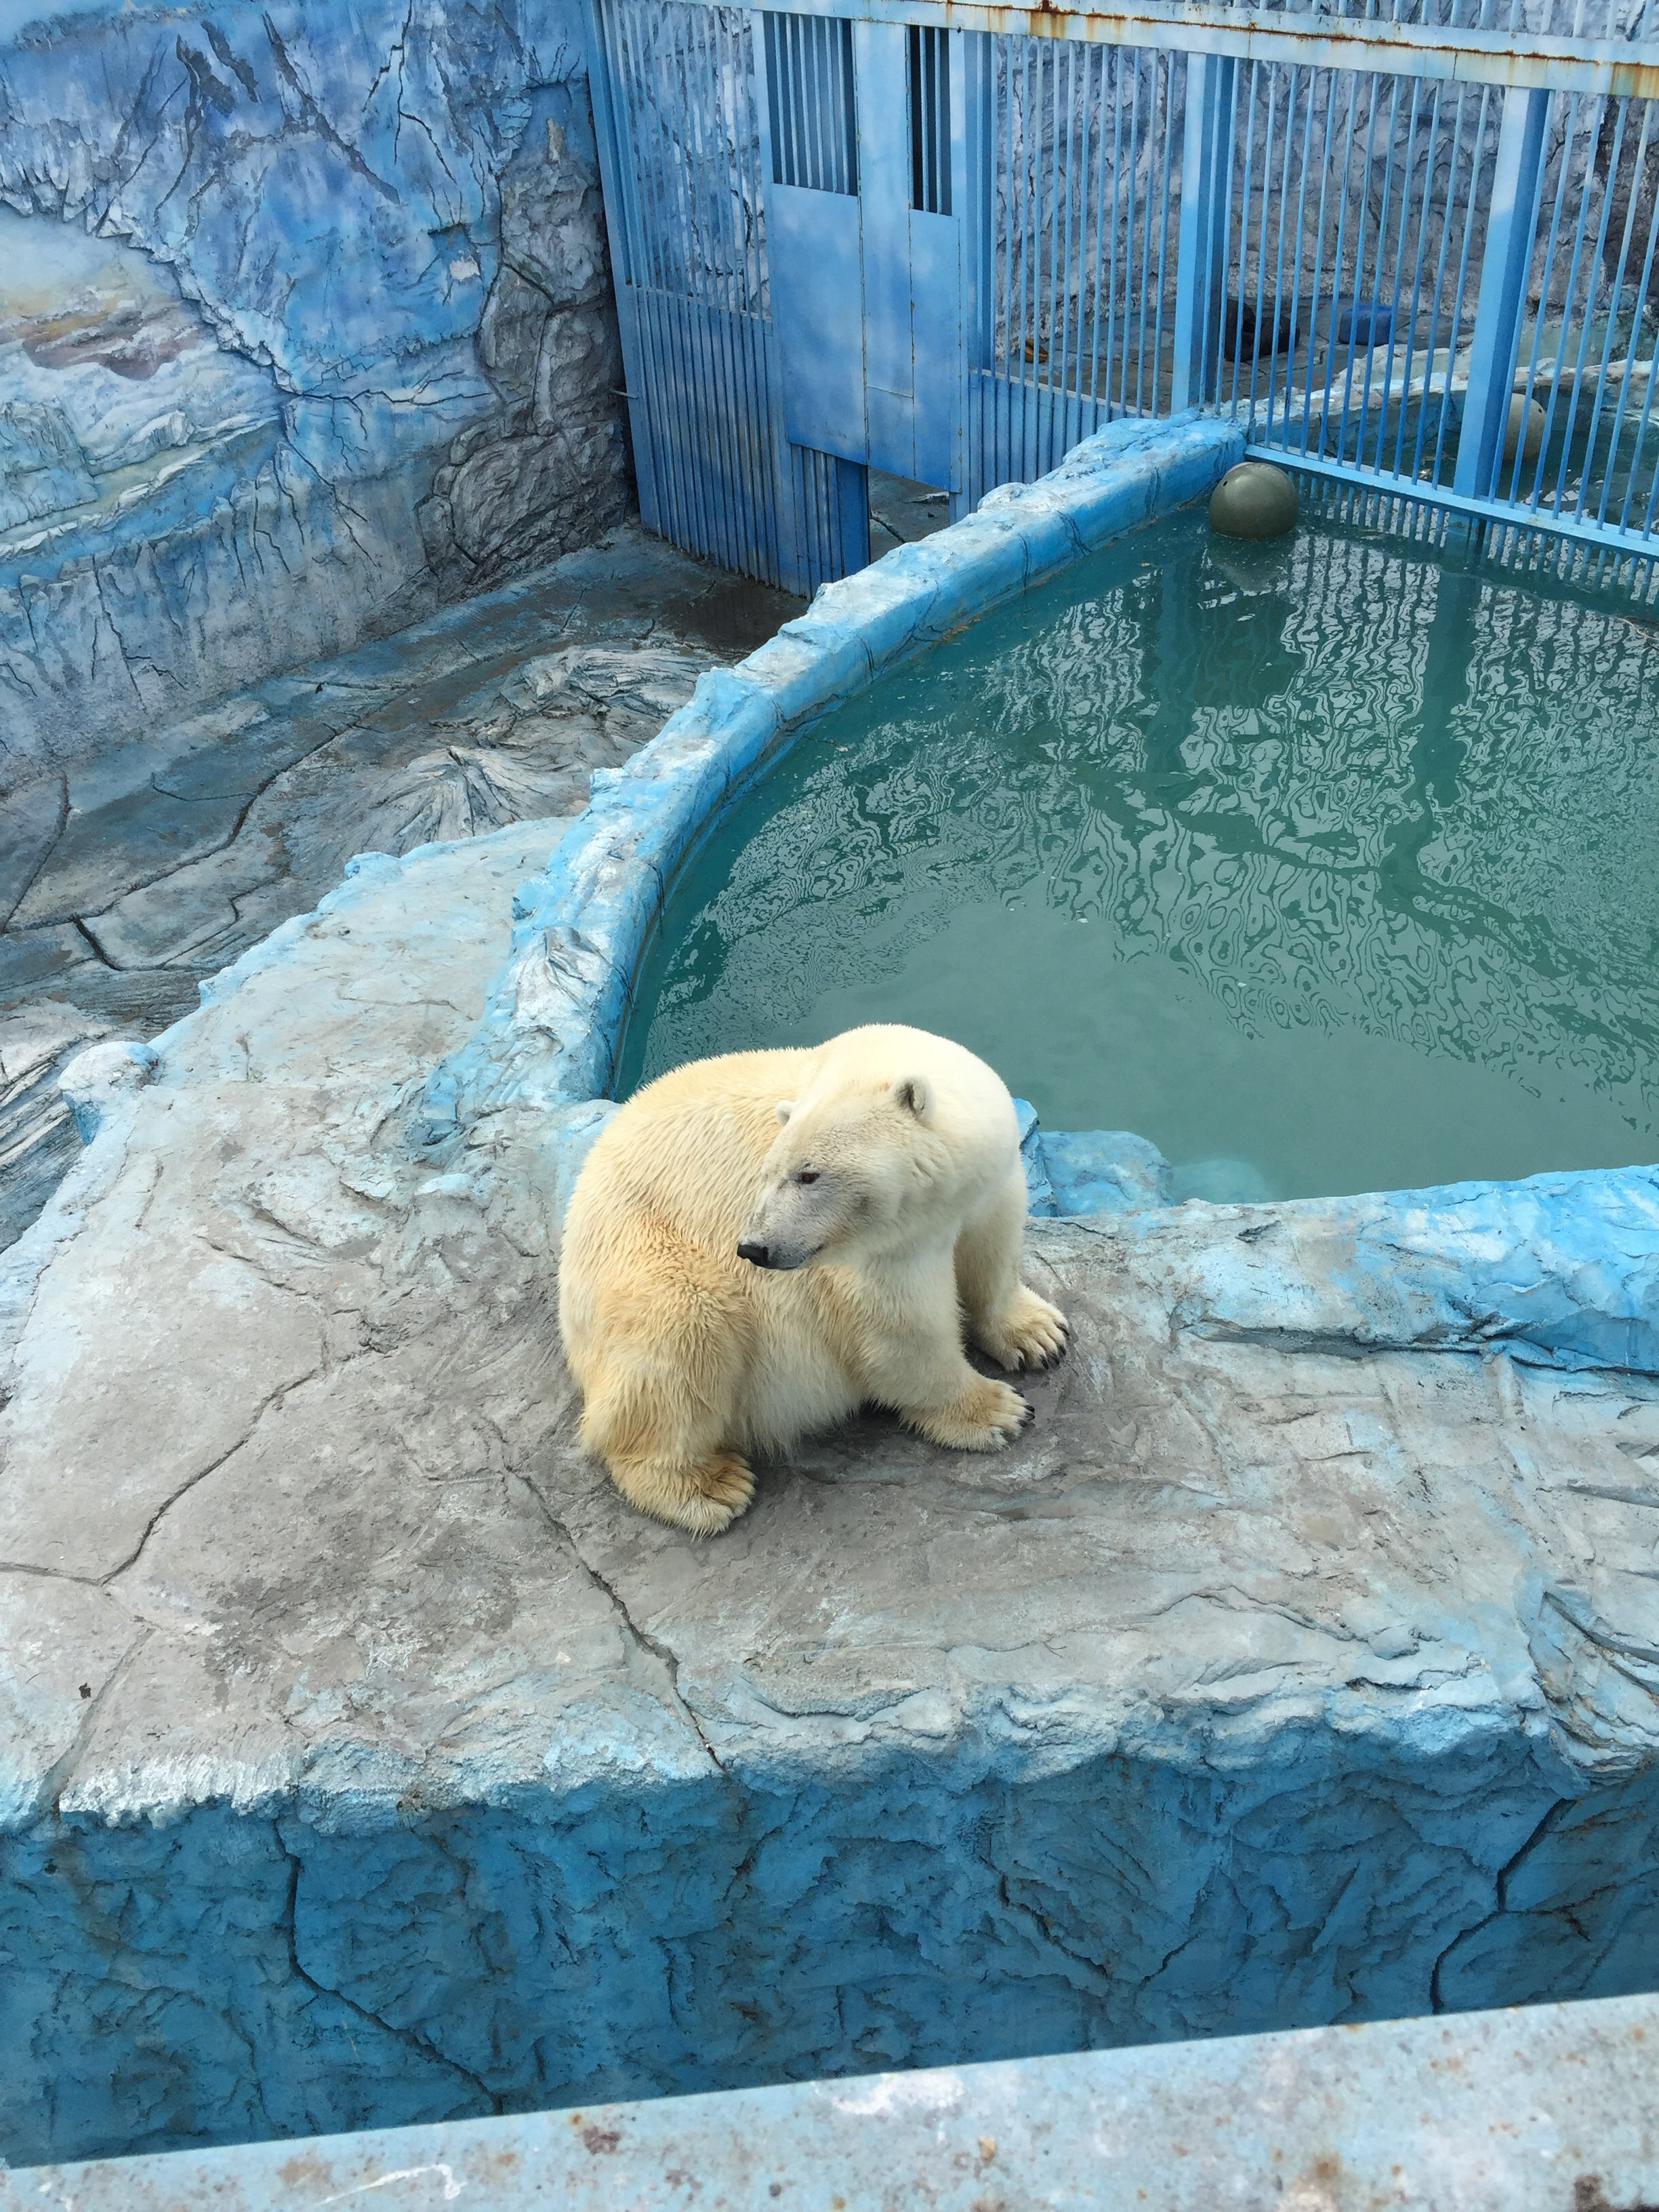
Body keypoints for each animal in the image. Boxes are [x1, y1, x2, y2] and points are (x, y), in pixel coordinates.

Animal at [562, 1021, 1079, 1530]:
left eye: (808, 1175)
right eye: (768, 1173)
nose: (753, 1248)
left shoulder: (988, 1180)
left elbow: (991, 1248)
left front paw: (1040, 1337)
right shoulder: (873, 1254)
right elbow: (903, 1328)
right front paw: (998, 1411)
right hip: (643, 1261)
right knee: (682, 1337)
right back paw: (709, 1486)